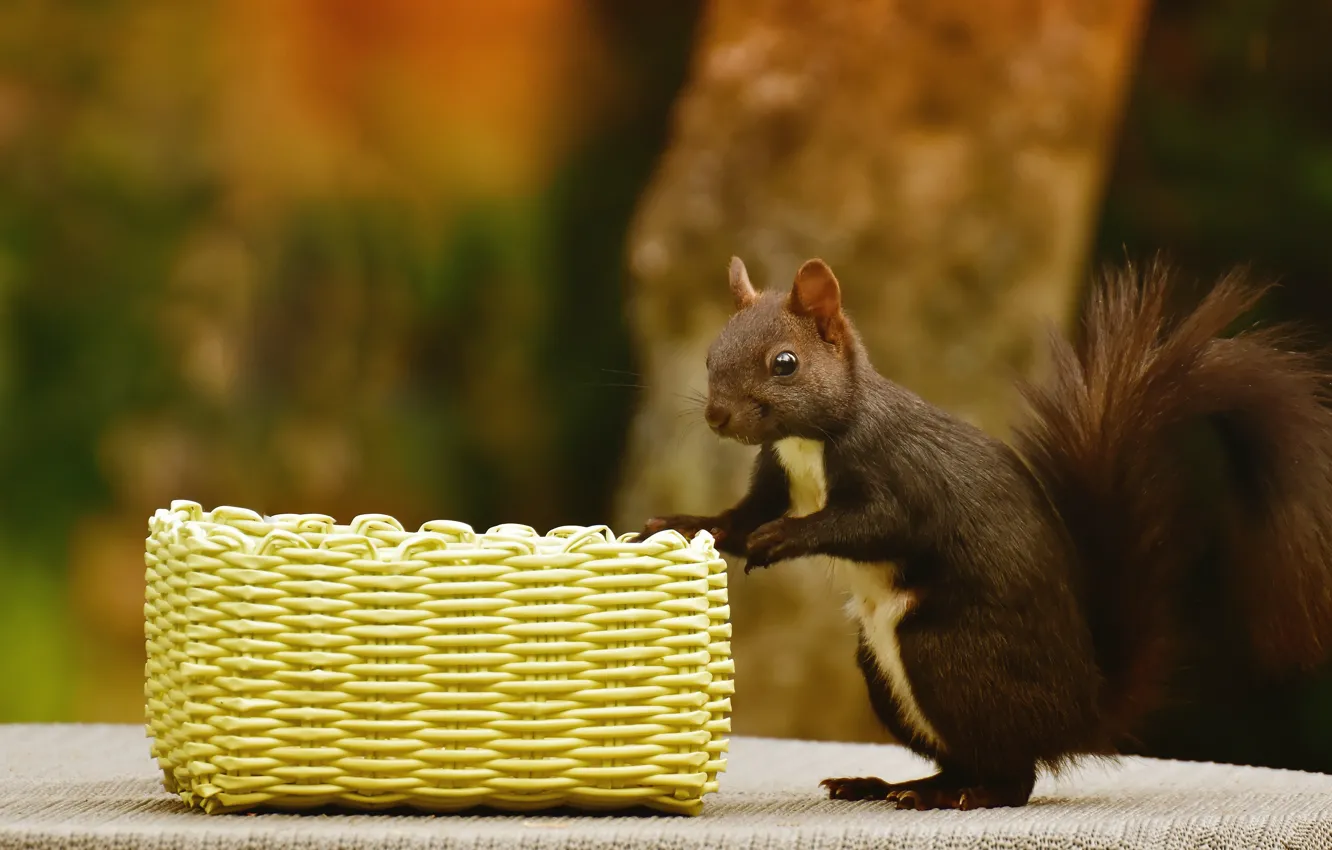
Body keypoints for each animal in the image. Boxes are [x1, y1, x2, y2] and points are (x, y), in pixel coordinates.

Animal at [636, 254, 1332, 810]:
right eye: (710, 354)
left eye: (786, 363)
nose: (718, 416)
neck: (807, 443)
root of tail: (1079, 712)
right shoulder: (773, 477)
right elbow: (735, 522)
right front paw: (682, 523)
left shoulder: (899, 478)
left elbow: (869, 524)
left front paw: (784, 538)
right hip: (885, 671)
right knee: (969, 760)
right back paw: (893, 786)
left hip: (944, 651)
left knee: (1014, 776)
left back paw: (954, 796)